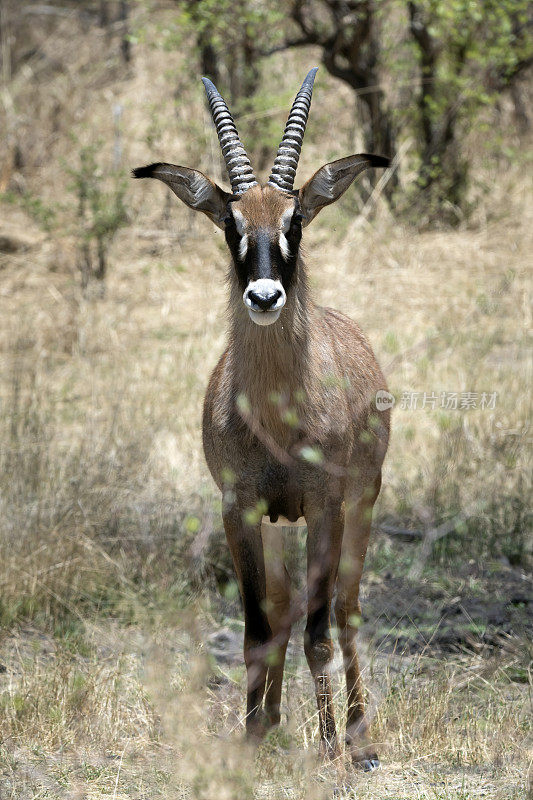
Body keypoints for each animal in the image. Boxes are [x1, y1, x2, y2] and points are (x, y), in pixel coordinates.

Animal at [133, 70, 390, 776]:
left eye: (295, 219)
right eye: (231, 222)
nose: (266, 296)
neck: (278, 413)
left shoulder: (327, 504)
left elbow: (319, 630)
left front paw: (329, 749)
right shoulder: (240, 506)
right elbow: (257, 626)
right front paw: (249, 738)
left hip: (359, 504)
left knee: (346, 611)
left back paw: (358, 738)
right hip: (279, 524)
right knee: (279, 608)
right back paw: (273, 719)